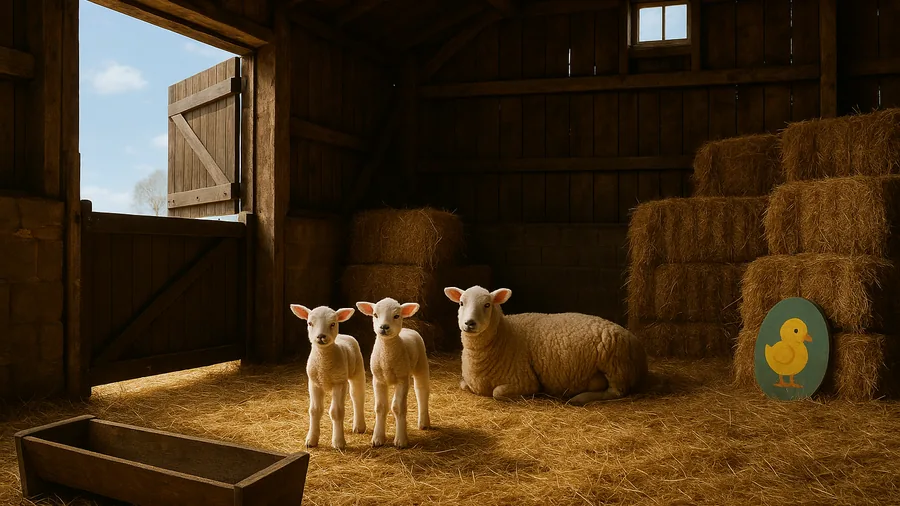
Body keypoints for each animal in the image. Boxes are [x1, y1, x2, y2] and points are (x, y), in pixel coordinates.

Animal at [289, 304, 366, 450]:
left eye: (332, 324)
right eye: (310, 323)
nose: (321, 336)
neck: (324, 363)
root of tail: (343, 335)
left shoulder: (339, 383)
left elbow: (336, 412)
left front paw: (338, 442)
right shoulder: (314, 383)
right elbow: (314, 410)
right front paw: (311, 440)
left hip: (357, 370)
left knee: (357, 397)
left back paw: (359, 426)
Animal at [355, 297, 431, 449]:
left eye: (396, 316)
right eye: (375, 315)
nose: (384, 327)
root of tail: (408, 329)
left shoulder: (402, 379)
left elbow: (398, 407)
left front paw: (401, 440)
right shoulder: (378, 380)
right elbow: (380, 407)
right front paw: (378, 438)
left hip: (421, 363)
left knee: (421, 391)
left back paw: (424, 422)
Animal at [442, 285, 648, 405]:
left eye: (487, 305)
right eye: (461, 303)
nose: (469, 323)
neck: (504, 335)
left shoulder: (525, 380)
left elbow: (497, 392)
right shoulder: (469, 382)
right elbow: (463, 385)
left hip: (616, 366)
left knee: (616, 392)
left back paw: (579, 398)